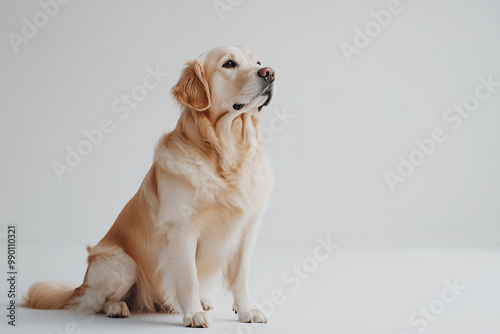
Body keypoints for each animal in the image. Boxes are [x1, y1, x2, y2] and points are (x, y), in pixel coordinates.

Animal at [25, 45, 276, 328]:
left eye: (258, 62)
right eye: (229, 64)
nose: (270, 73)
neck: (226, 150)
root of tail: (80, 285)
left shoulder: (247, 229)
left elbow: (241, 277)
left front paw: (246, 310)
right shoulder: (181, 229)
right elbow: (189, 279)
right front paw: (193, 314)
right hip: (122, 263)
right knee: (97, 302)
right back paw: (118, 307)